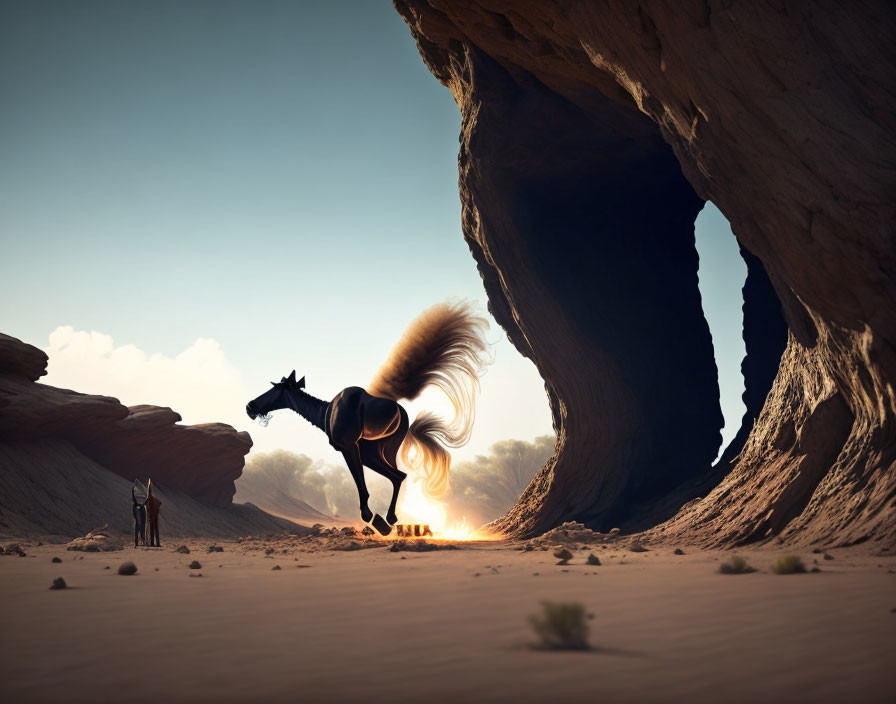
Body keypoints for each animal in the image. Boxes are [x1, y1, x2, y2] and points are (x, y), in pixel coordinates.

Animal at [247, 300, 490, 536]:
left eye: (275, 388)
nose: (250, 406)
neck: (324, 414)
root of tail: (402, 416)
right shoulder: (359, 450)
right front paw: (377, 519)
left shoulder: (348, 447)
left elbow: (361, 486)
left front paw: (369, 516)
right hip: (381, 450)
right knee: (398, 475)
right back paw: (390, 520)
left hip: (372, 452)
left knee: (397, 475)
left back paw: (387, 520)